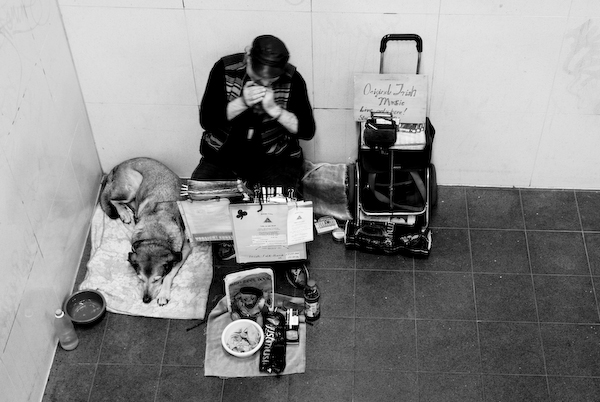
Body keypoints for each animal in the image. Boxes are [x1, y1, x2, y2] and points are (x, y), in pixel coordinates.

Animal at [99, 157, 191, 304]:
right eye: (140, 278)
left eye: (157, 279)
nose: (146, 300)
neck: (154, 236)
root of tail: (119, 165)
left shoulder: (185, 249)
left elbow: (170, 273)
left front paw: (163, 294)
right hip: (132, 187)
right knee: (113, 199)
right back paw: (124, 213)